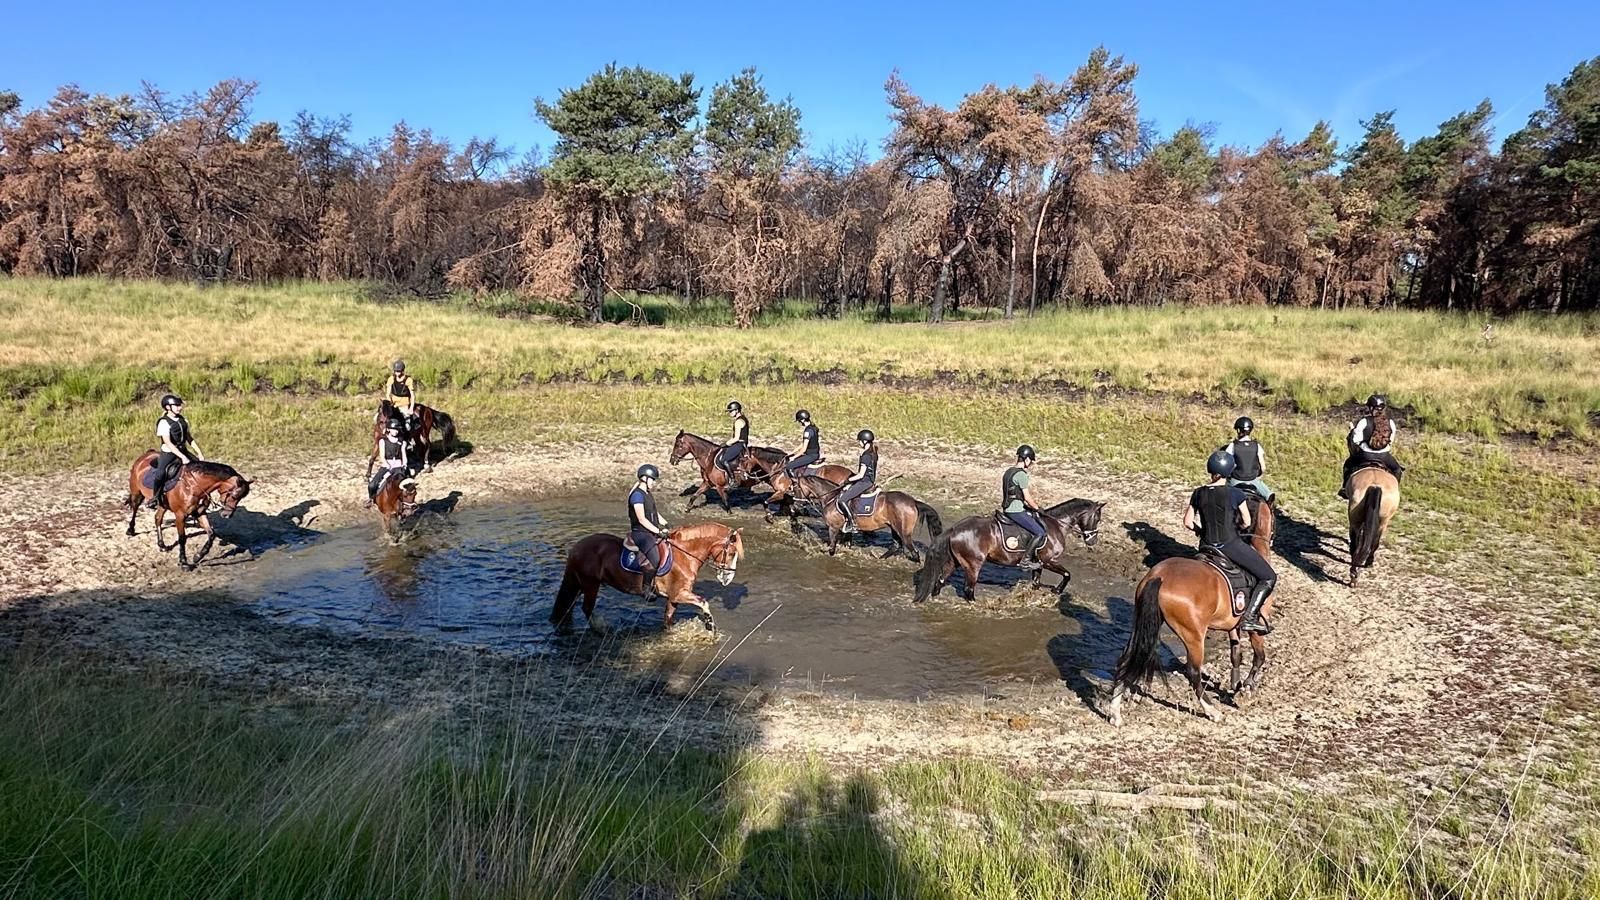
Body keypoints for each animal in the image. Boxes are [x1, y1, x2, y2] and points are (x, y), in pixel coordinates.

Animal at [551, 523, 745, 633]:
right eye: (731, 552)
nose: (728, 578)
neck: (684, 555)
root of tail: (576, 547)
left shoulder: (673, 598)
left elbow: (668, 618)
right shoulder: (680, 594)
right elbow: (704, 602)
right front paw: (710, 626)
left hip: (580, 584)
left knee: (569, 605)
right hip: (591, 584)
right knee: (586, 608)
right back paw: (601, 628)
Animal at [798, 474, 944, 562]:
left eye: (796, 487)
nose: (797, 503)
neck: (830, 497)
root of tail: (913, 501)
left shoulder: (833, 527)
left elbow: (832, 547)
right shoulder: (845, 529)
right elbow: (846, 543)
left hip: (904, 532)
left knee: (913, 551)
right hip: (894, 527)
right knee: (896, 545)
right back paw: (879, 558)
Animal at [912, 499, 1105, 602]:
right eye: (1097, 518)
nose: (1092, 540)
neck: (1055, 525)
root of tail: (954, 529)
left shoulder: (1039, 563)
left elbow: (1036, 582)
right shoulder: (1049, 561)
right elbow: (1067, 574)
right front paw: (1057, 591)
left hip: (956, 562)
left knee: (941, 580)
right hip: (973, 565)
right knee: (968, 589)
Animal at [1106, 499, 1277, 726]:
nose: (1273, 538)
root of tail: (1159, 576)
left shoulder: (1233, 626)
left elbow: (1236, 655)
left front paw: (1236, 684)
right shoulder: (1255, 628)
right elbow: (1259, 657)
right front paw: (1247, 688)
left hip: (1143, 623)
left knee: (1127, 657)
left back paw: (1115, 712)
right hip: (1194, 636)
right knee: (1193, 672)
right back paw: (1212, 711)